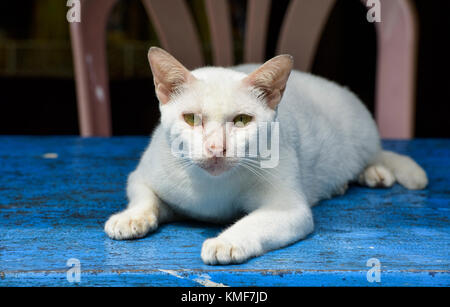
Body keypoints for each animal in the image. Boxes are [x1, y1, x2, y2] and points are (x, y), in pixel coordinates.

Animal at [103, 47, 428, 266]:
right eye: (192, 119)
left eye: (242, 120)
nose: (215, 148)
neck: (211, 189)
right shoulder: (143, 174)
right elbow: (144, 196)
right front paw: (132, 217)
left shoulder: (289, 208)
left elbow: (254, 222)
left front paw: (227, 241)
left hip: (362, 134)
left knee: (375, 154)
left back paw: (372, 172)